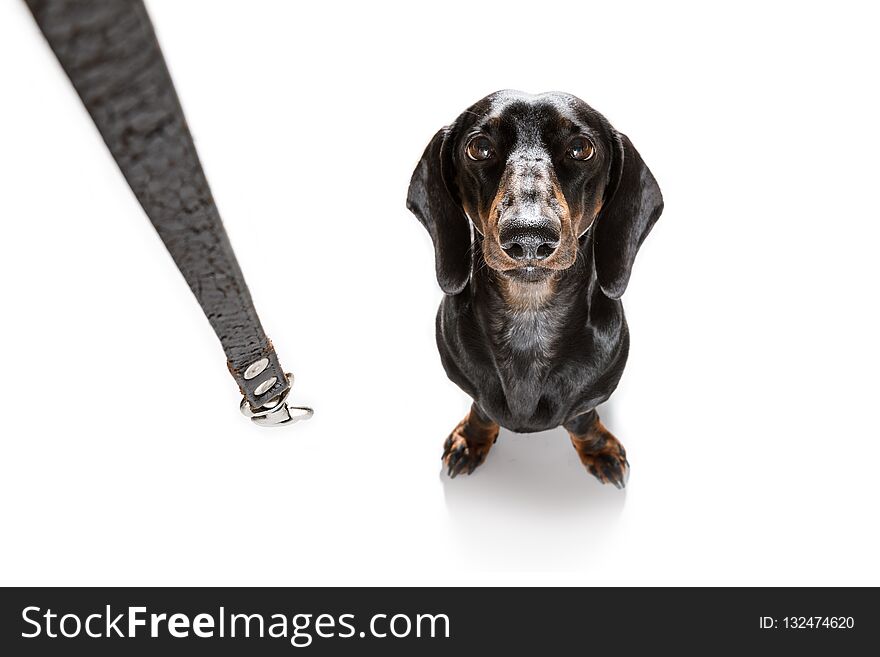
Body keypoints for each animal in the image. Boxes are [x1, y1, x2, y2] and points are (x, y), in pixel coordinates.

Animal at [406, 89, 660, 484]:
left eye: (580, 148)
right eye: (479, 147)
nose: (528, 236)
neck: (530, 316)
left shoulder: (587, 400)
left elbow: (582, 419)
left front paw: (598, 449)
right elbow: (482, 409)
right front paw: (472, 438)